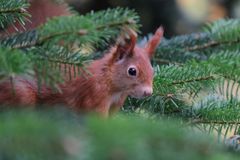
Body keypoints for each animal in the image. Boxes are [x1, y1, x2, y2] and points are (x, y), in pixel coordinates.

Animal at [0, 27, 163, 116]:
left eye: (152, 70)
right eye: (132, 71)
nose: (148, 92)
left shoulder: (115, 105)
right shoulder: (95, 98)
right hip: (23, 95)